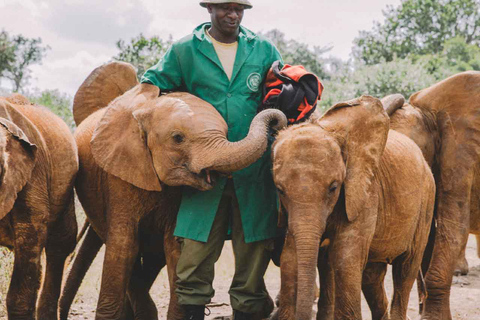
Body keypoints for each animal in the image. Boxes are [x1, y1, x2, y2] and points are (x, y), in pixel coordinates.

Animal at [270, 95, 436, 320]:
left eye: (333, 188)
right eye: (280, 190)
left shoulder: (364, 191)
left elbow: (344, 258)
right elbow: (290, 257)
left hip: (426, 200)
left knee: (405, 268)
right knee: (372, 277)